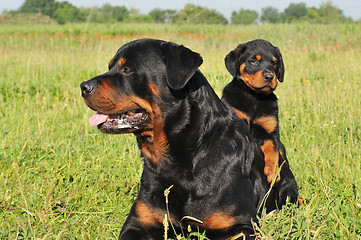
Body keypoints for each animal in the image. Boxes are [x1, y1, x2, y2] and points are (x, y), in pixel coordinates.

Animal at [222, 39, 298, 210]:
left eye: (275, 63)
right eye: (253, 61)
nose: (270, 76)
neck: (255, 97)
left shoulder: (270, 131)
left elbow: (272, 150)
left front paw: (272, 171)